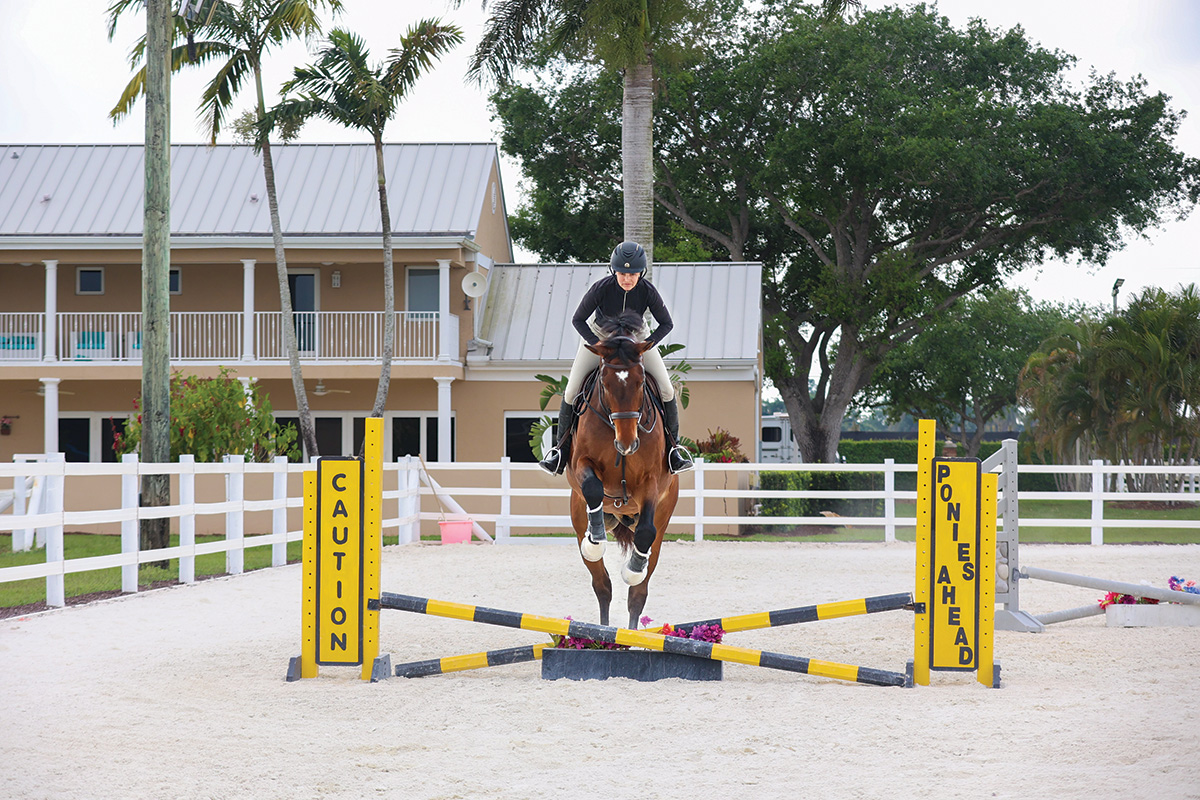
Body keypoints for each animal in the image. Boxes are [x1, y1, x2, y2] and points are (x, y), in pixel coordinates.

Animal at [564, 309, 681, 628]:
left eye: (641, 383)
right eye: (604, 384)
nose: (627, 444)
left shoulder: (651, 483)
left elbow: (645, 533)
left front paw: (633, 568)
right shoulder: (581, 465)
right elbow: (593, 487)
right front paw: (595, 538)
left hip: (662, 521)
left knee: (637, 592)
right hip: (578, 513)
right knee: (602, 586)